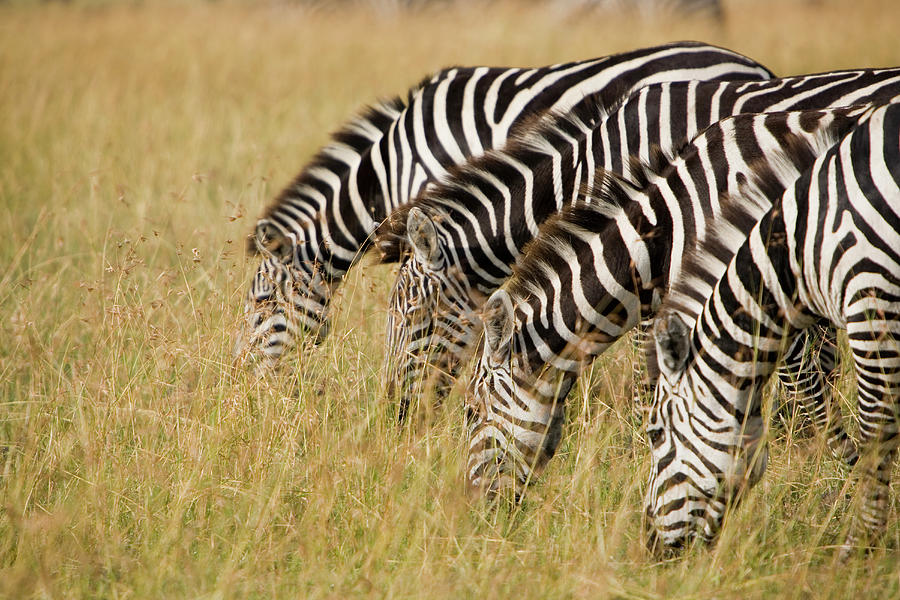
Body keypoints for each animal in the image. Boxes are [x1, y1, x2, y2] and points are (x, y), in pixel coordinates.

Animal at [648, 102, 900, 556]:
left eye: (656, 435)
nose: (650, 547)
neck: (799, 250)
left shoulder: (872, 297)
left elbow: (873, 429)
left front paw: (858, 548)